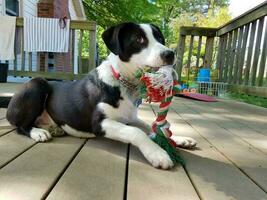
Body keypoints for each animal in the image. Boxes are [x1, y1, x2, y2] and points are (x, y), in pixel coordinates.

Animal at [6, 22, 197, 169]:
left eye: (160, 39)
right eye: (139, 39)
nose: (170, 54)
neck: (123, 83)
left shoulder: (130, 117)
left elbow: (150, 127)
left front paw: (178, 139)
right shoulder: (100, 123)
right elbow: (136, 132)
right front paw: (158, 153)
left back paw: (54, 128)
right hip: (37, 85)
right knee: (21, 126)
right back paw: (38, 132)